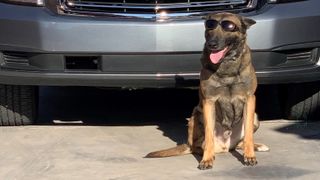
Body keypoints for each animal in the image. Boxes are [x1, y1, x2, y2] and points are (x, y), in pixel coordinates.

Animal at [146, 12, 268, 170]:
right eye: (210, 26)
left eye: (229, 27)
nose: (212, 44)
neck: (226, 65)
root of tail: (225, 146)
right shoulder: (209, 102)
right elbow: (209, 134)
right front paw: (207, 159)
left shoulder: (249, 99)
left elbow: (248, 135)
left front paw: (250, 156)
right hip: (196, 115)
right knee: (198, 146)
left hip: (255, 117)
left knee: (239, 143)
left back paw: (256, 146)